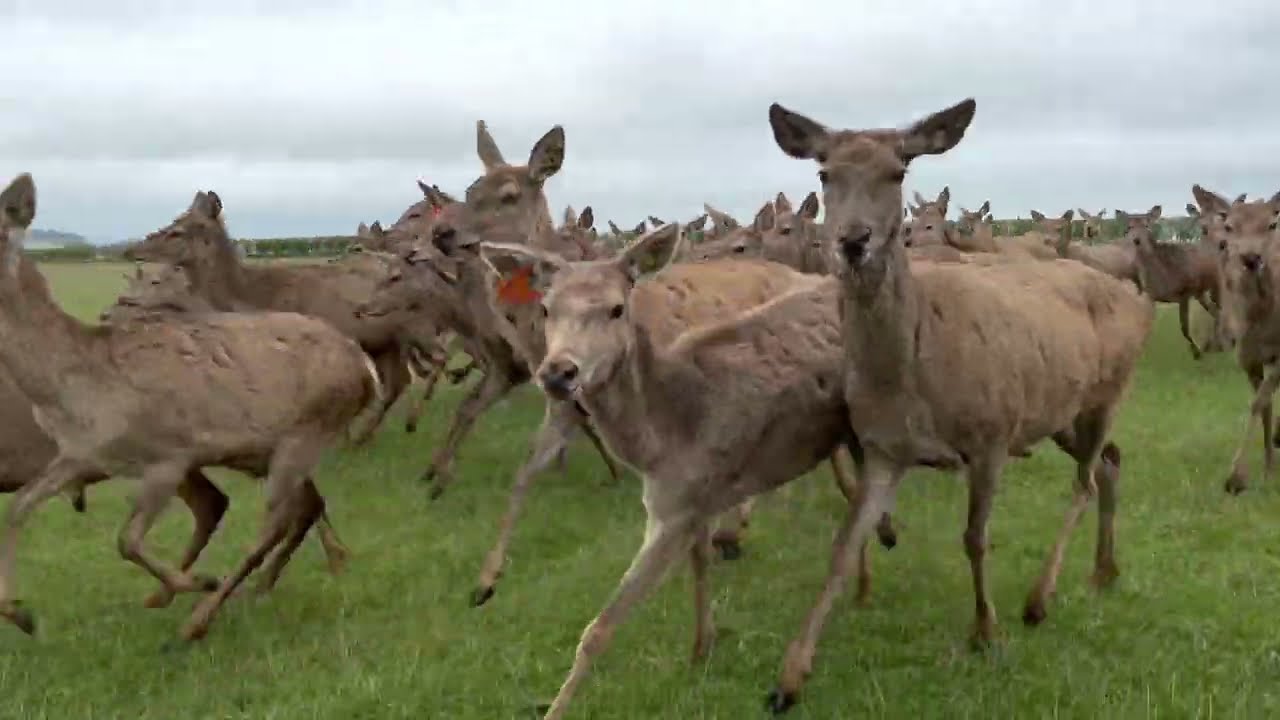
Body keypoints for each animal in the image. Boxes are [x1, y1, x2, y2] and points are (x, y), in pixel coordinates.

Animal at [0, 175, 382, 641]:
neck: (71, 386)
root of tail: (366, 370)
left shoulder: (169, 456)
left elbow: (127, 540)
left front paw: (198, 581)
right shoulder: (80, 455)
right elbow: (19, 506)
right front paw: (19, 613)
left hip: (305, 433)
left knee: (273, 521)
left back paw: (199, 618)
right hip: (271, 451)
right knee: (299, 509)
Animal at [766, 96, 1153, 711]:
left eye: (898, 170)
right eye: (824, 173)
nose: (853, 241)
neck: (912, 375)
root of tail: (1140, 300)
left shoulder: (992, 434)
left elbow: (975, 538)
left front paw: (986, 632)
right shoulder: (883, 448)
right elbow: (843, 546)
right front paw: (789, 678)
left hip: (1108, 390)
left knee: (1085, 482)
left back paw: (1039, 599)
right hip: (1059, 412)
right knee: (1112, 462)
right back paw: (1103, 572)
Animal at [1119, 205, 1220, 359]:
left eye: (1147, 225)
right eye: (1128, 227)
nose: (1136, 240)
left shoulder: (1185, 291)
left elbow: (1184, 327)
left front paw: (1196, 353)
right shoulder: (1151, 296)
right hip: (1201, 292)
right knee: (1216, 311)